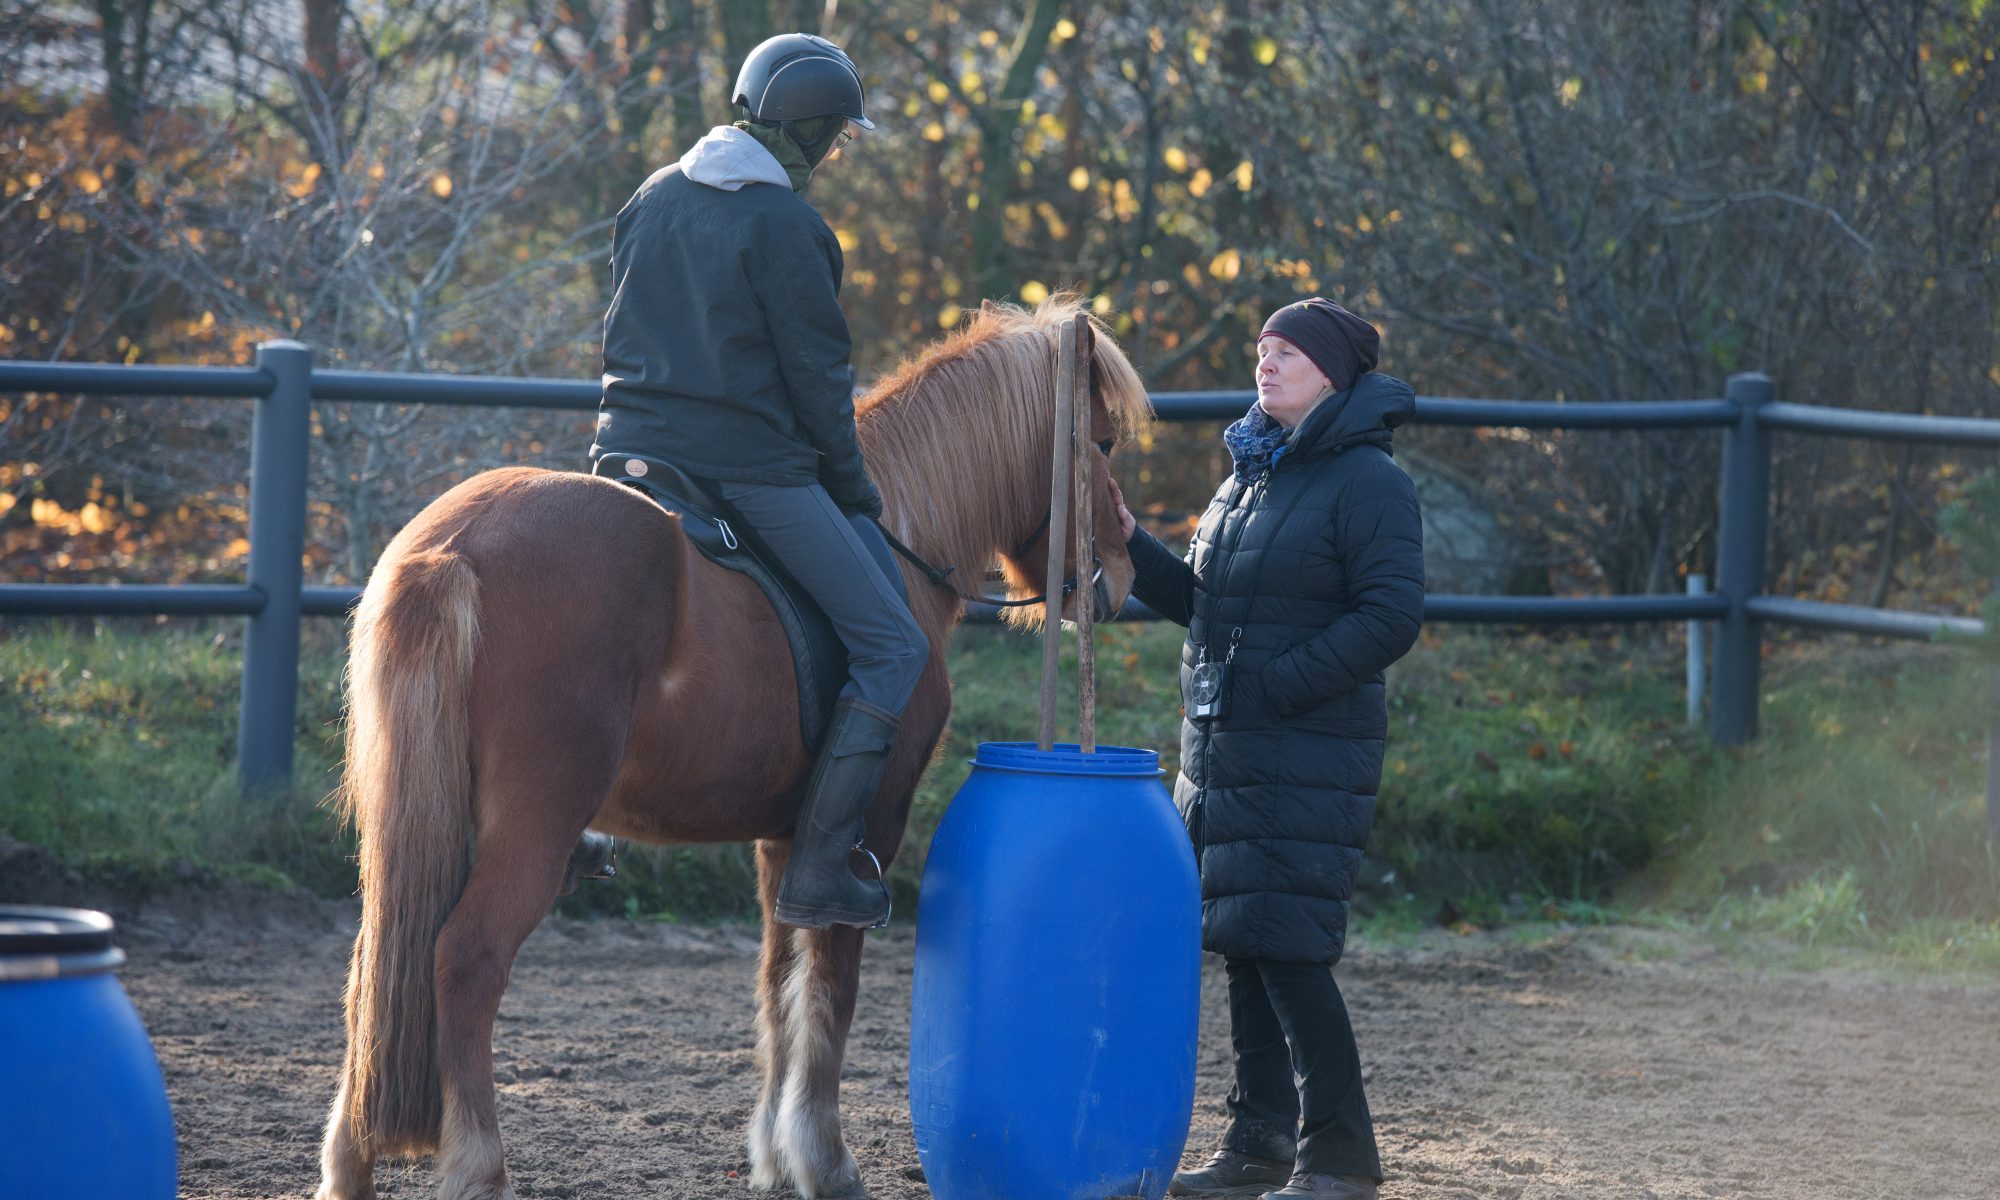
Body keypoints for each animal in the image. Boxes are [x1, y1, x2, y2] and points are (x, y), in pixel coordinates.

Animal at [314, 298, 1160, 1200]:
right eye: (1101, 442)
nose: (1114, 575)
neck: (899, 541)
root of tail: (454, 544)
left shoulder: (788, 837)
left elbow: (778, 981)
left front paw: (776, 1154)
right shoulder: (864, 834)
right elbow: (830, 986)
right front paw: (826, 1160)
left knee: (379, 965)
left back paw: (350, 1162)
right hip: (533, 826)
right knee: (463, 960)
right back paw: (478, 1167)